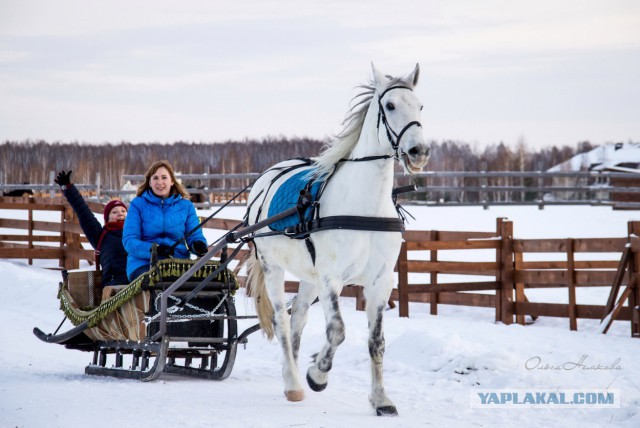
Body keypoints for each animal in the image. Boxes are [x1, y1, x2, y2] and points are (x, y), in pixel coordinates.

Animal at [245, 63, 430, 414]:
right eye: (390, 106)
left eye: (421, 106)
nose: (419, 151)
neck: (366, 206)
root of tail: (267, 177)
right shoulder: (331, 278)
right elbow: (338, 330)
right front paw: (318, 374)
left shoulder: (380, 281)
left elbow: (376, 341)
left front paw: (381, 398)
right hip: (273, 266)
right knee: (282, 320)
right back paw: (293, 383)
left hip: (308, 275)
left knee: (298, 318)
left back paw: (291, 371)